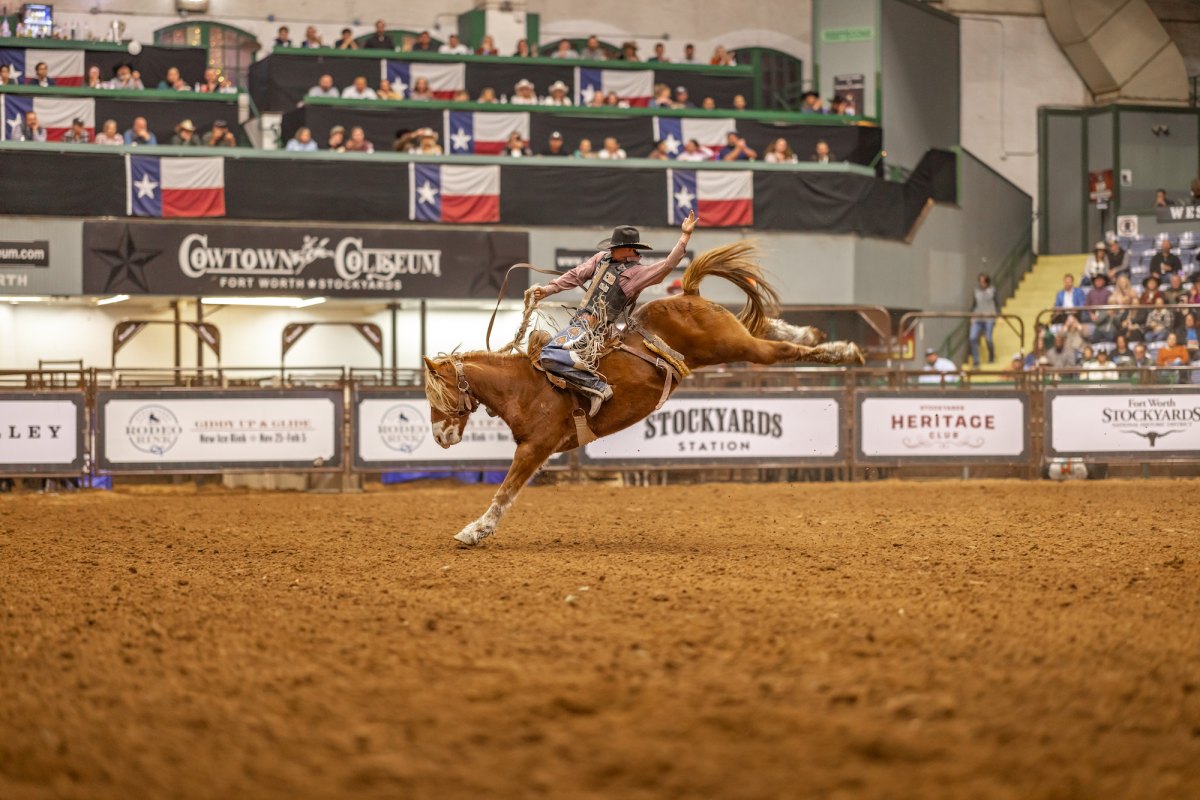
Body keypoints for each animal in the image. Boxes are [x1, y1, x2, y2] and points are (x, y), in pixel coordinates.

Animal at [422, 241, 864, 546]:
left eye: (438, 395)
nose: (440, 437)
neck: (525, 387)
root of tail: (688, 295)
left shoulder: (536, 447)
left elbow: (505, 491)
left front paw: (474, 531)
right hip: (730, 339)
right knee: (767, 327)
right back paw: (816, 335)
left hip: (733, 345)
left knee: (778, 350)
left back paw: (844, 351)